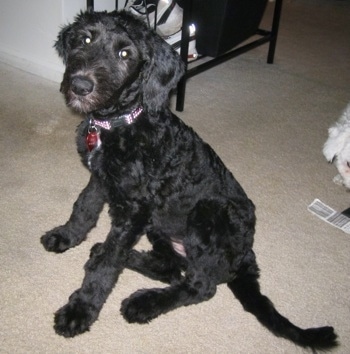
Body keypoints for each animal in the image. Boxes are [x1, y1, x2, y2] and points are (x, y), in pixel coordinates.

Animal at [41, 9, 336, 350]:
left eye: (125, 54)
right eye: (85, 40)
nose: (80, 85)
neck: (117, 123)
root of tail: (246, 254)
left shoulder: (134, 210)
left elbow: (107, 266)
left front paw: (80, 309)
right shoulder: (101, 180)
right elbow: (84, 208)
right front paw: (66, 236)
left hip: (206, 214)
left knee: (200, 286)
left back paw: (143, 303)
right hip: (160, 226)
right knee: (171, 268)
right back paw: (115, 255)